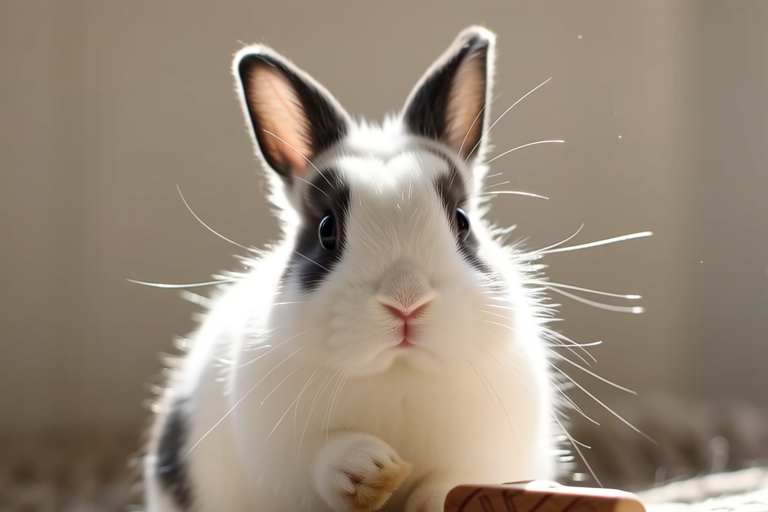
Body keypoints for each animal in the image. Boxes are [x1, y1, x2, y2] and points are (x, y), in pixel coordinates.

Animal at [144, 26, 563, 512]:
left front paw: (428, 496)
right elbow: (321, 456)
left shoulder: (484, 454)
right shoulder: (281, 451)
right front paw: (372, 471)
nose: (406, 302)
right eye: (327, 230)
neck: (398, 373)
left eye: (462, 221)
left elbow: (453, 479)